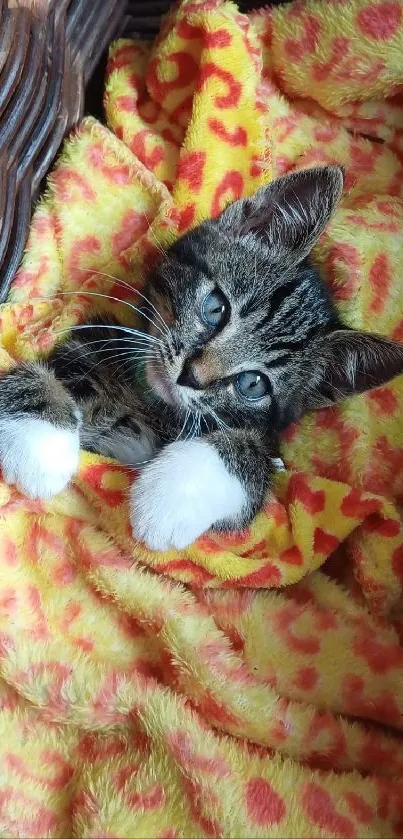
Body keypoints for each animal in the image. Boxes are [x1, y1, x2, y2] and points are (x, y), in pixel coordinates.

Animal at [0, 169, 403, 552]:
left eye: (253, 383)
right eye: (215, 308)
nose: (190, 377)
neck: (151, 404)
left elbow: (252, 453)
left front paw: (169, 500)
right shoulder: (91, 337)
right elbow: (55, 367)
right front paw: (40, 442)